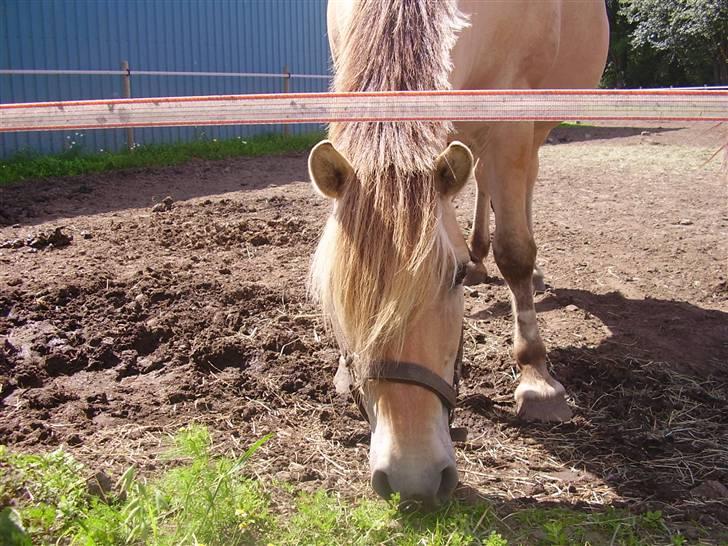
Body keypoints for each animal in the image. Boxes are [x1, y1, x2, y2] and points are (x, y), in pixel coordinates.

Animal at [308, 0, 608, 506]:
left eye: (454, 277)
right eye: (335, 294)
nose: (412, 479)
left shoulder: (515, 121)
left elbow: (516, 251)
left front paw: (537, 381)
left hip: (537, 127)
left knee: (520, 185)